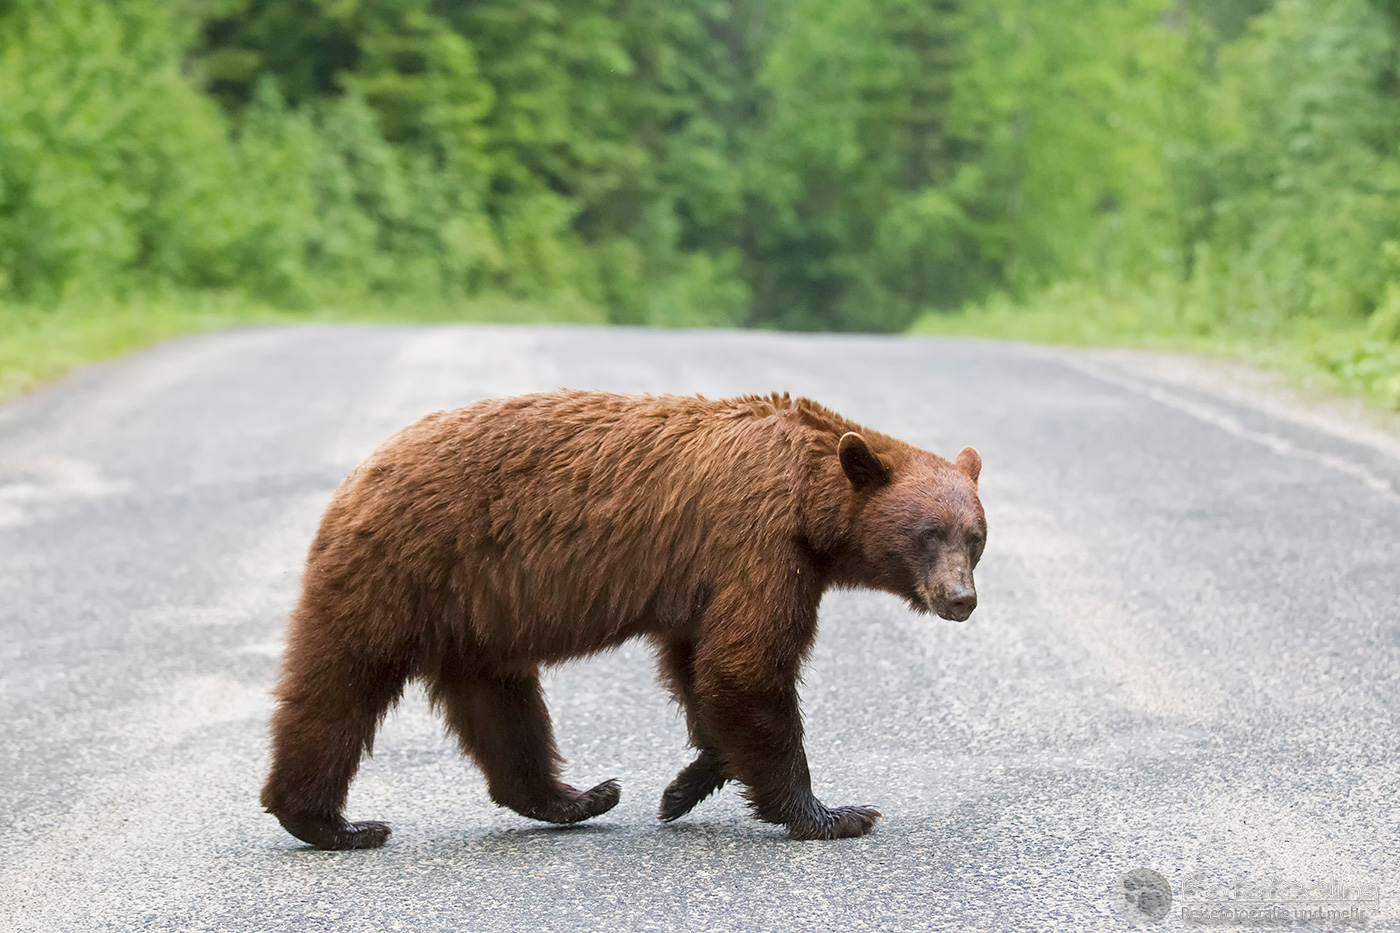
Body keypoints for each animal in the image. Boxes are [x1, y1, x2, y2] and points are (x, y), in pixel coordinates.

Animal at [261, 390, 986, 848]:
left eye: (975, 536)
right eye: (927, 533)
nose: (961, 598)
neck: (810, 498)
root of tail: (360, 473)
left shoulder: (708, 579)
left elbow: (703, 667)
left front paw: (683, 786)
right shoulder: (758, 544)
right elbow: (746, 665)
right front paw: (833, 812)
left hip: (470, 612)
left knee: (501, 704)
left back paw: (578, 796)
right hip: (401, 567)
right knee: (339, 684)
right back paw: (332, 822)